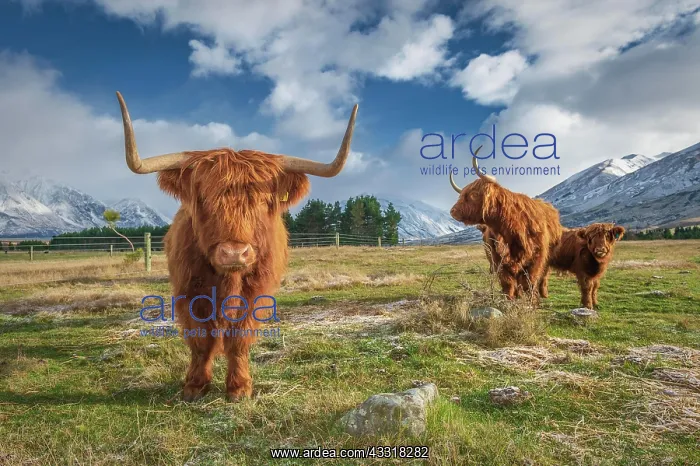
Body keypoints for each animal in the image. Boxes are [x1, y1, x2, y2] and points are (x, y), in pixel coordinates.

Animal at [115, 92, 357, 401]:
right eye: (204, 198)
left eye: (264, 200)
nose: (233, 253)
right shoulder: (188, 291)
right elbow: (201, 338)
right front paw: (195, 384)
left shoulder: (255, 292)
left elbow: (239, 338)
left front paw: (239, 387)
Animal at [449, 148, 562, 300]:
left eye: (473, 194)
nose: (452, 211)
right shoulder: (497, 258)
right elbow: (507, 282)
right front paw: (508, 298)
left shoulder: (537, 257)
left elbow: (529, 281)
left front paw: (530, 300)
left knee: (544, 275)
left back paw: (543, 293)